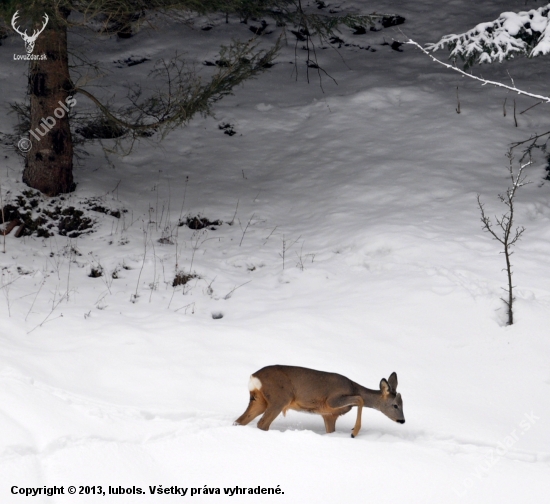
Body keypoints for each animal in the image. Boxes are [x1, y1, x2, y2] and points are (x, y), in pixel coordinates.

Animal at [235, 366, 408, 438]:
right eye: (395, 405)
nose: (402, 420)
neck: (353, 387)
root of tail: (254, 377)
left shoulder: (328, 414)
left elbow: (330, 431)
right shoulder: (332, 399)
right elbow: (359, 398)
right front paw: (354, 432)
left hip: (259, 400)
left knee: (239, 421)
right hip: (280, 397)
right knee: (262, 423)